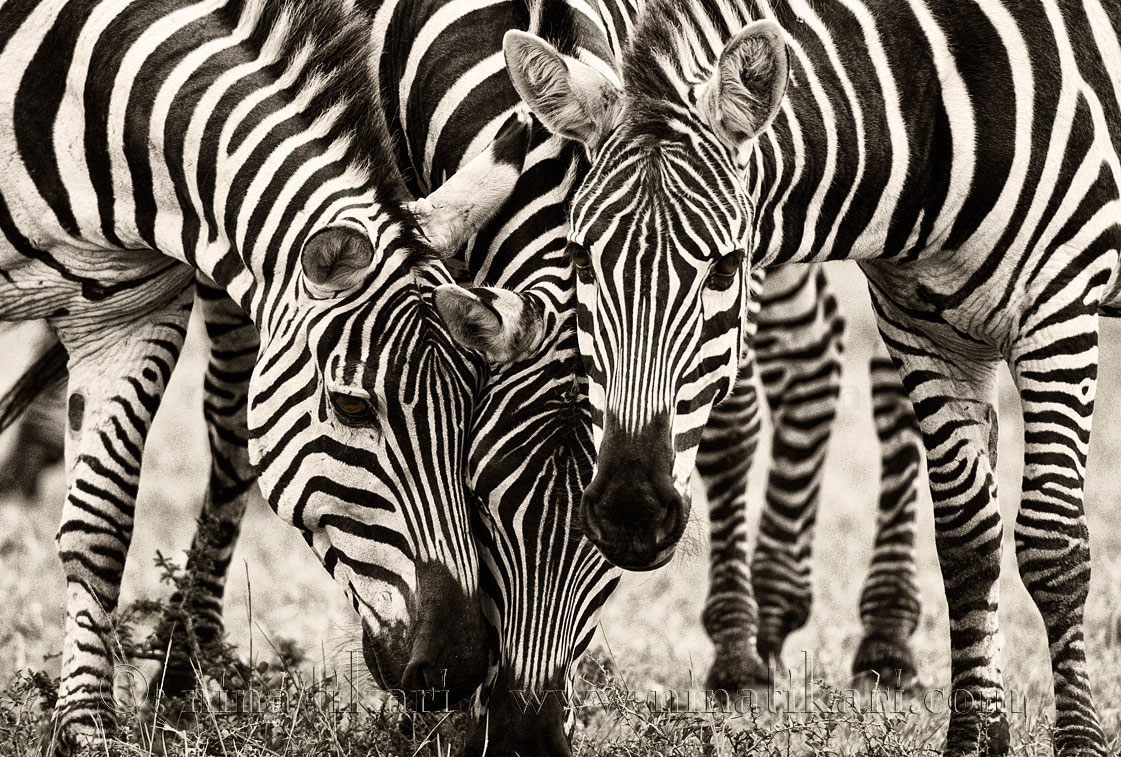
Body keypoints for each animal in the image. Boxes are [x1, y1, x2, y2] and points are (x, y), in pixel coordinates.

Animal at [0, 0, 535, 748]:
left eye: (473, 405)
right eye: (352, 407)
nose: (457, 665)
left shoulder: (127, 317)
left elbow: (97, 525)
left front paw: (86, 726)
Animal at [503, 0, 1121, 754]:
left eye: (726, 267)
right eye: (578, 260)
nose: (630, 510)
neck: (934, 110)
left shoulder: (1059, 310)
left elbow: (1051, 542)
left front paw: (1080, 740)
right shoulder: (921, 329)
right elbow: (967, 539)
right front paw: (976, 734)